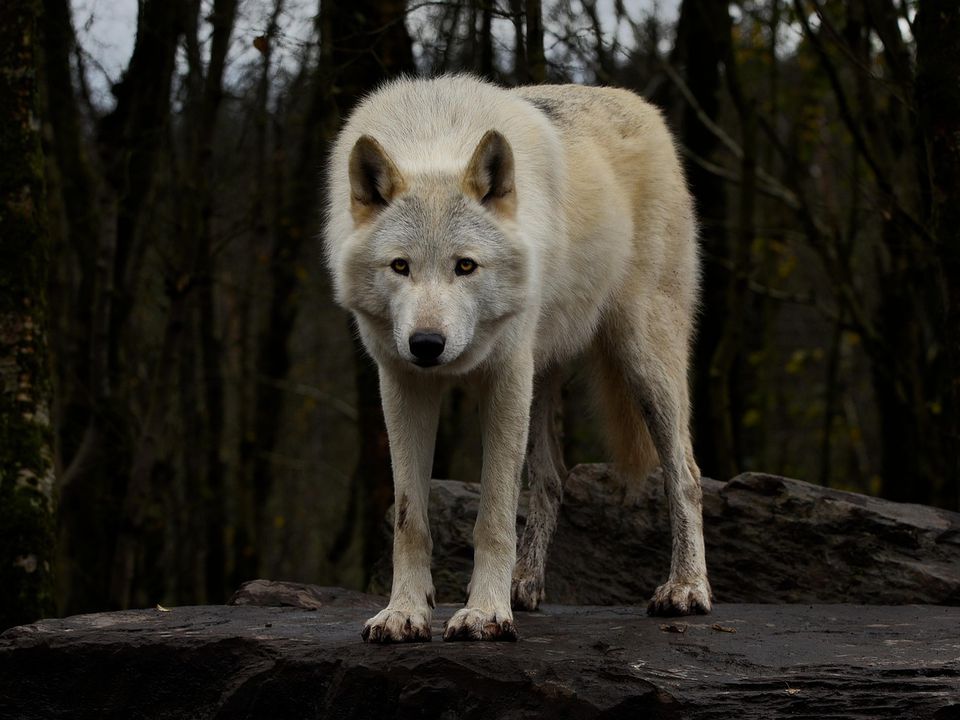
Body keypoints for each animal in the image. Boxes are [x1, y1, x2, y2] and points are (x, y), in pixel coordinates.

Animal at [326, 76, 708, 644]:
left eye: (465, 266)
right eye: (400, 266)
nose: (427, 343)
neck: (436, 137)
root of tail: (641, 105)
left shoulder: (504, 378)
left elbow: (494, 517)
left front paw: (484, 613)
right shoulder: (401, 384)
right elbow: (410, 519)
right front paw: (405, 613)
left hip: (642, 363)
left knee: (685, 474)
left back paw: (686, 589)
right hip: (540, 380)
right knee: (551, 481)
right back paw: (524, 584)